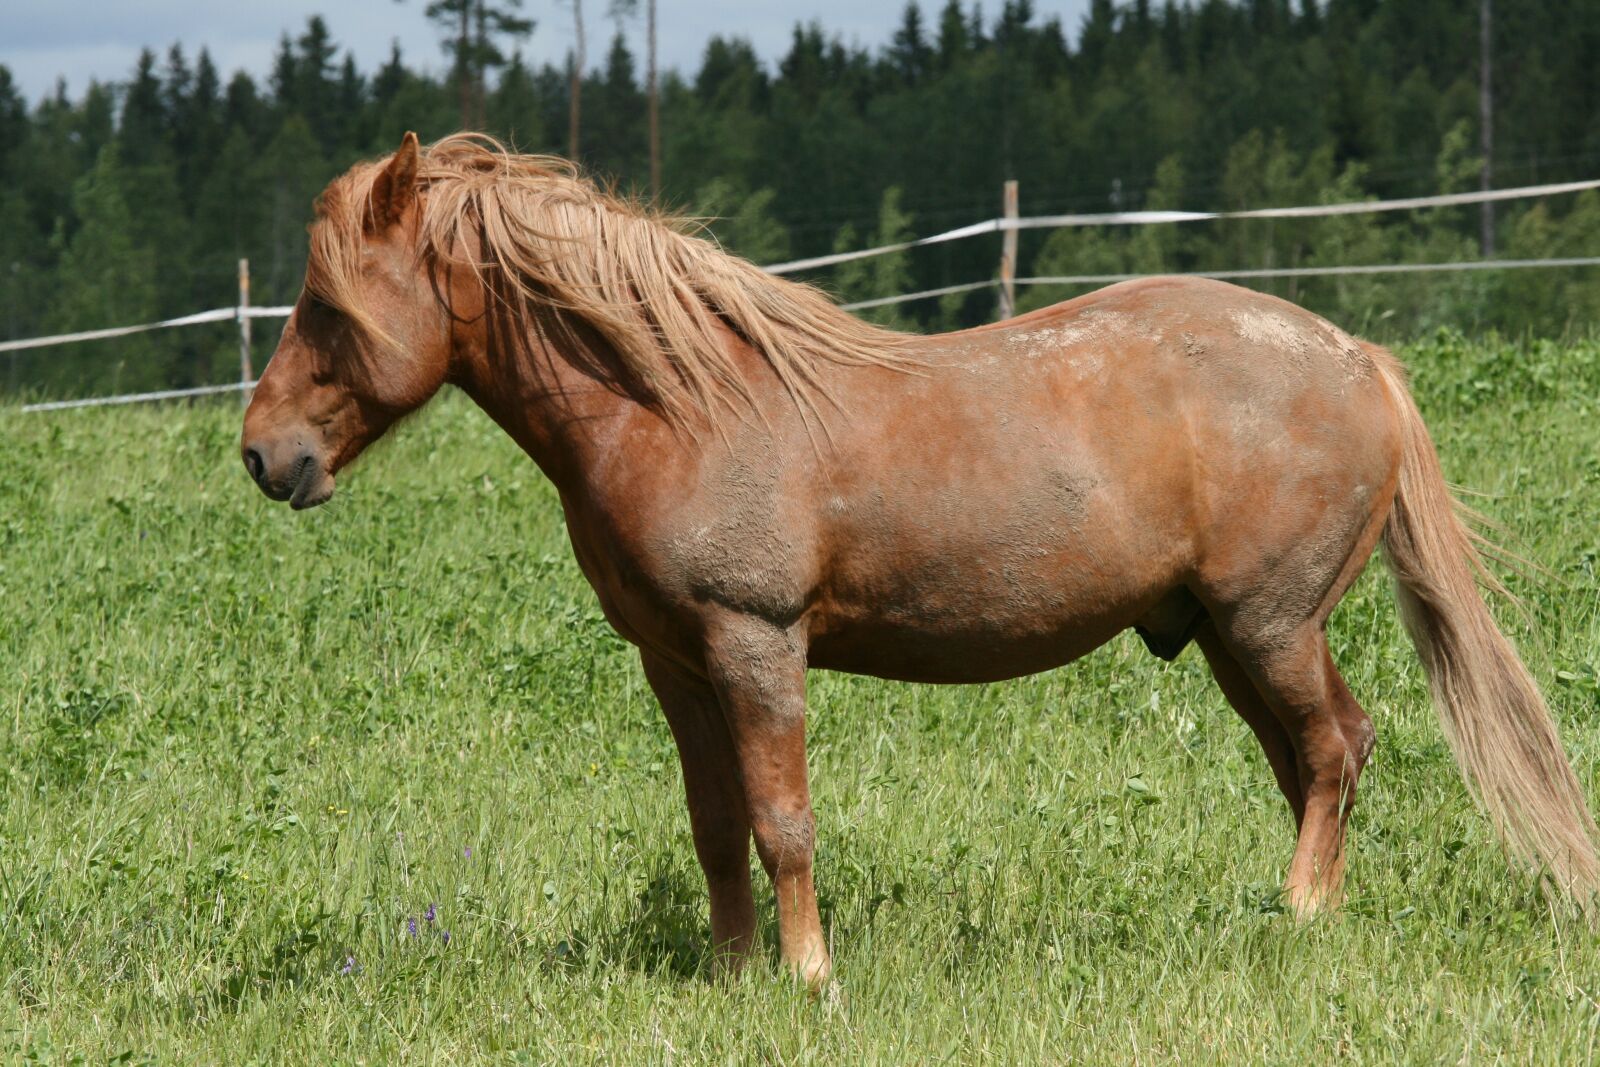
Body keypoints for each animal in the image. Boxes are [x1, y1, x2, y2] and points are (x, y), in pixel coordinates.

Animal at [241, 132, 1599, 986]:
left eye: (325, 305)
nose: (263, 454)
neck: (682, 401)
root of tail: (1354, 354)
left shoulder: (755, 643)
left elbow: (783, 819)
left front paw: (806, 978)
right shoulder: (676, 663)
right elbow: (714, 823)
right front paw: (731, 976)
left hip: (1271, 623)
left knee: (1336, 749)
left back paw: (1302, 916)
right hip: (1229, 636)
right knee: (1310, 762)